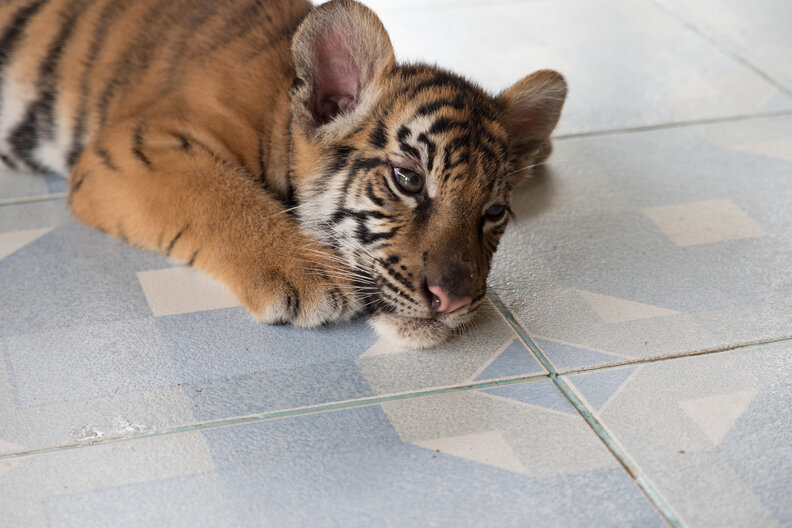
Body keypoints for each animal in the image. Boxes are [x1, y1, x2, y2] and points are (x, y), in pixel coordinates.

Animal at [0, 0, 567, 349]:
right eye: (408, 179)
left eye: (494, 211)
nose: (456, 300)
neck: (278, 111)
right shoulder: (129, 147)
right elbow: (219, 193)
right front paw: (310, 276)